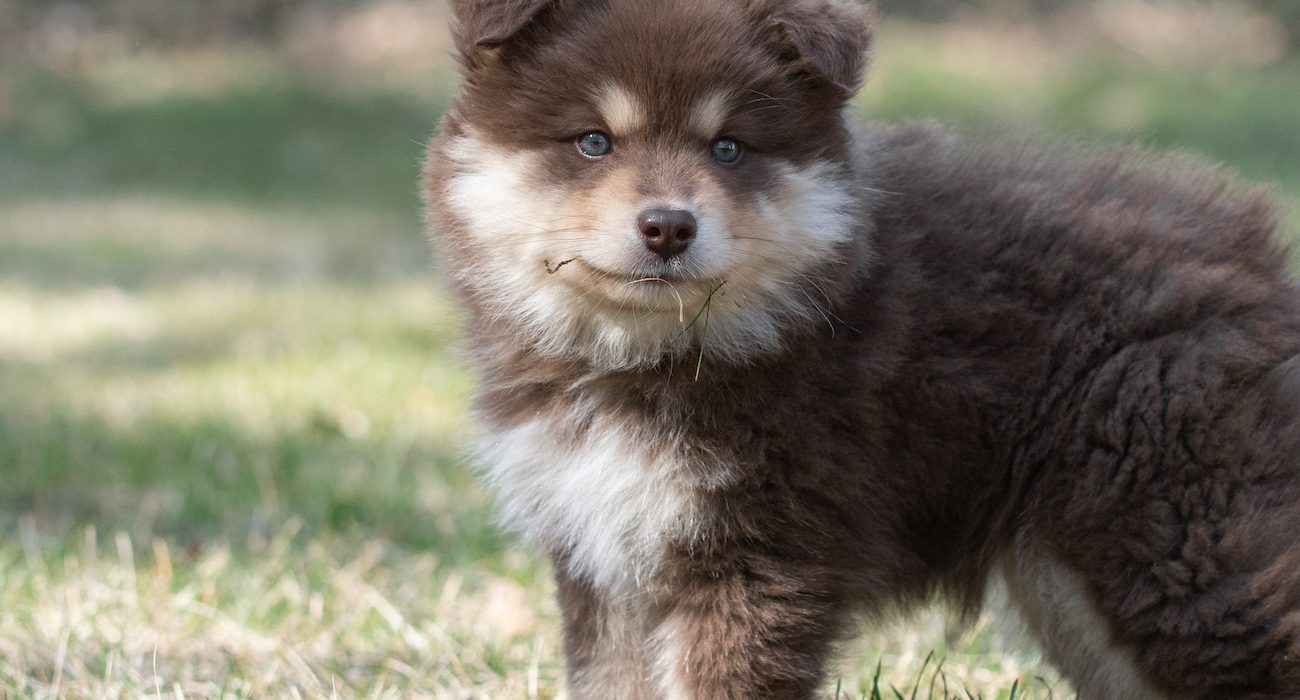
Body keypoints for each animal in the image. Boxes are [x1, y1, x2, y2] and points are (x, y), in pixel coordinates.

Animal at [423, 1, 1300, 697]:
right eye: (593, 142)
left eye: (728, 148)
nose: (669, 227)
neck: (644, 358)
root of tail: (1261, 259)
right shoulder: (602, 557)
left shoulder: (760, 553)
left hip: (1179, 543)